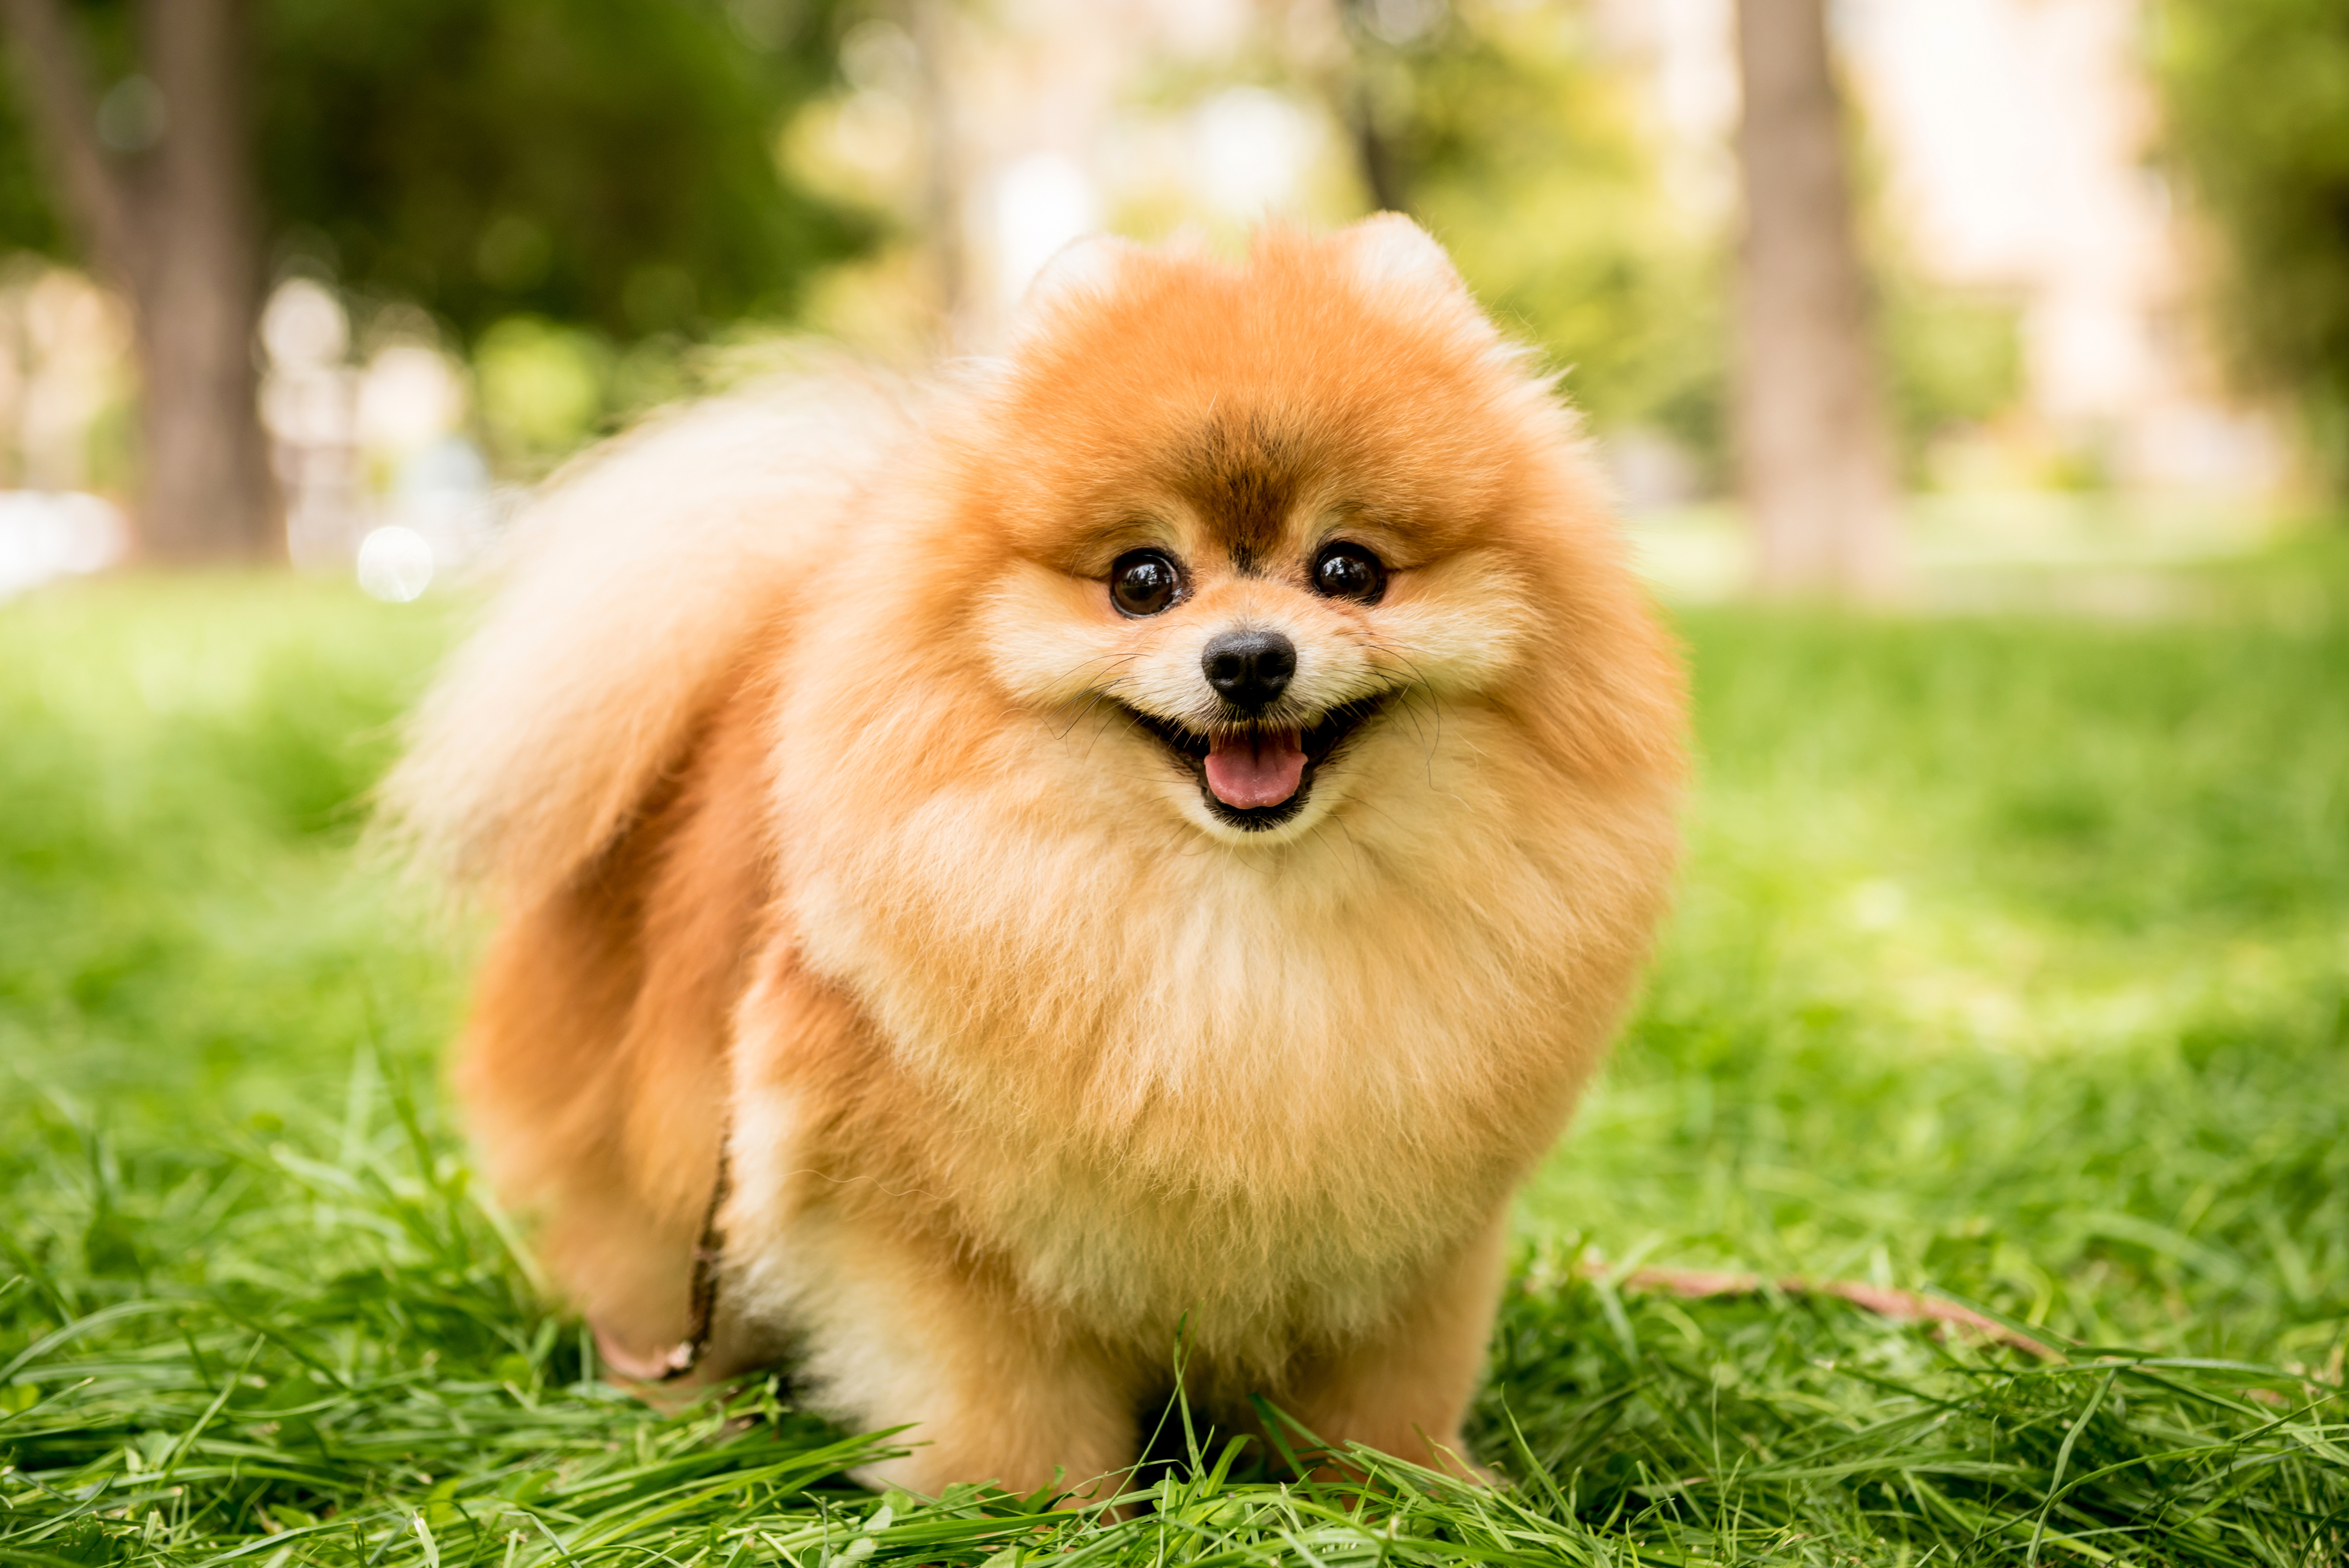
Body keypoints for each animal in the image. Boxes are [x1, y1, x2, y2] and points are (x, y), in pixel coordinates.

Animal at [394, 217, 1700, 1493]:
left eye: (1349, 571)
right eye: (1143, 580)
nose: (1248, 658)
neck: (1241, 911)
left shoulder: (1417, 1234)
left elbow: (1386, 1390)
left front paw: (1404, 1492)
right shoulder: (930, 1232)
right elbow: (1002, 1395)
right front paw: (1041, 1509)